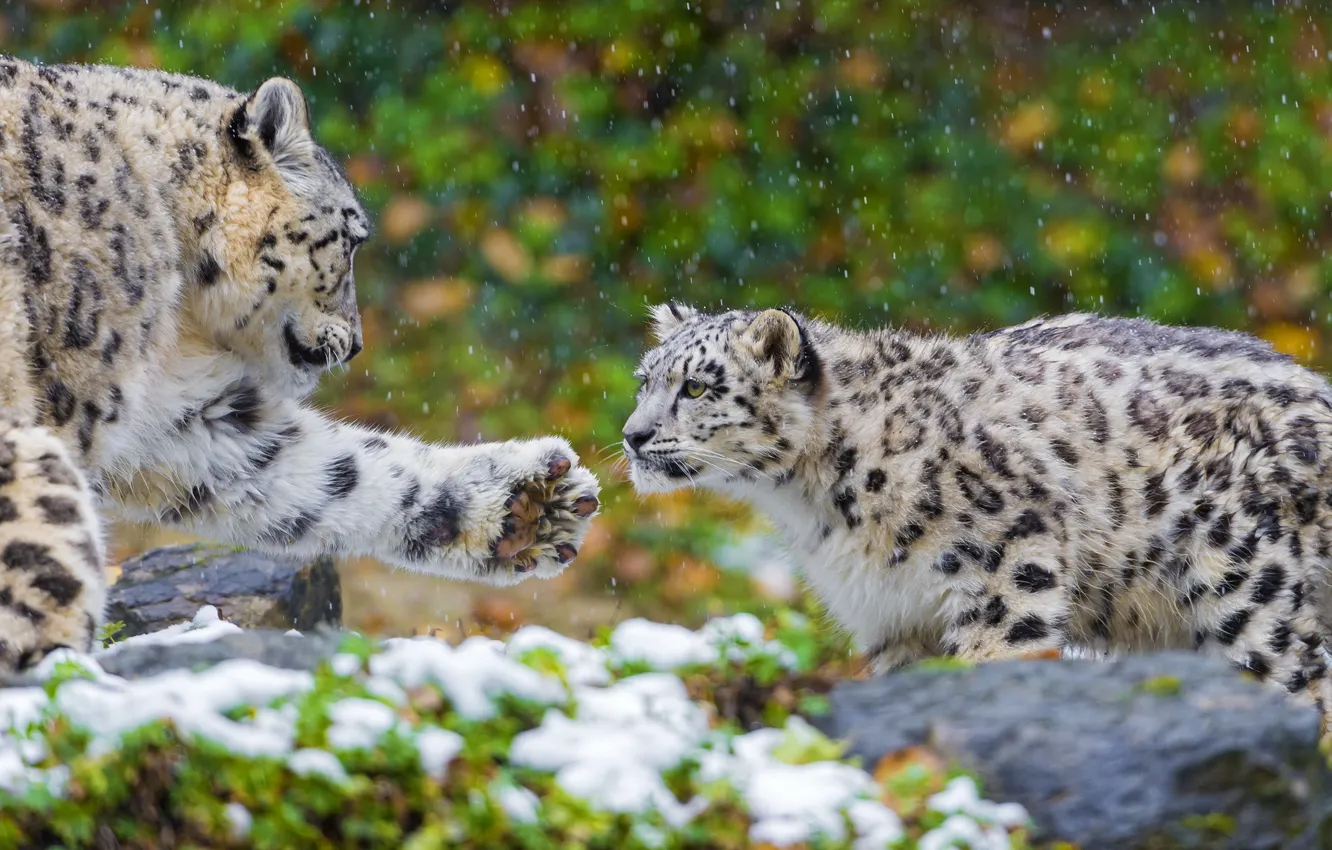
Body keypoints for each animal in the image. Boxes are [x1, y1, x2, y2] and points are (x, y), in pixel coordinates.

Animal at [623, 303, 1332, 728]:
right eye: (644, 379)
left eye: (696, 386)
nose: (632, 435)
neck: (815, 504)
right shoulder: (892, 617)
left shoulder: (1007, 573)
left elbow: (993, 663)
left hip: (1249, 590)